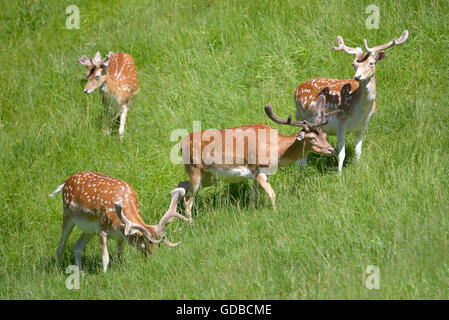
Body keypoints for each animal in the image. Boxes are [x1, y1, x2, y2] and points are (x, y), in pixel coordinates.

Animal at [49, 171, 189, 272]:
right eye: (144, 244)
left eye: (158, 245)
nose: (152, 260)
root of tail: (65, 182)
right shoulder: (102, 228)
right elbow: (105, 257)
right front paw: (105, 274)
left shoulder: (121, 235)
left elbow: (118, 256)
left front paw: (119, 270)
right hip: (67, 215)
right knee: (61, 244)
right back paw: (56, 269)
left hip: (89, 230)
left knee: (77, 247)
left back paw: (81, 272)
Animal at [177, 94, 338, 216]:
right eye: (311, 138)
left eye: (324, 135)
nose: (331, 149)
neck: (277, 148)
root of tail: (181, 144)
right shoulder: (259, 168)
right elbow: (271, 194)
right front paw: (276, 213)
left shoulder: (254, 175)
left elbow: (254, 196)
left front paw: (251, 213)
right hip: (195, 170)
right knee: (188, 199)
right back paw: (190, 223)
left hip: (208, 177)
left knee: (182, 185)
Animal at [292, 30, 408, 172]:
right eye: (354, 64)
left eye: (371, 63)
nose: (357, 77)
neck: (360, 110)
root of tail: (296, 89)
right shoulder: (341, 122)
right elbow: (342, 154)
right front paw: (339, 174)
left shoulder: (362, 125)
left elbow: (358, 151)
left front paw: (358, 169)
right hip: (301, 117)